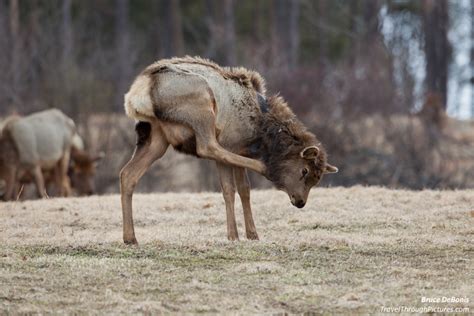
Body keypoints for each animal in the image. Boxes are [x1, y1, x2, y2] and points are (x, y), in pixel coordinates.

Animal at [121, 56, 336, 244]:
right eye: (304, 170)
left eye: (317, 179)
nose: (300, 202)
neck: (261, 132)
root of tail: (137, 94)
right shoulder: (232, 143)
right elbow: (229, 189)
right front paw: (233, 235)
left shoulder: (240, 149)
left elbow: (245, 189)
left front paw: (252, 234)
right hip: (201, 105)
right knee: (207, 146)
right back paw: (264, 167)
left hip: (155, 137)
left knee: (128, 174)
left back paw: (130, 238)